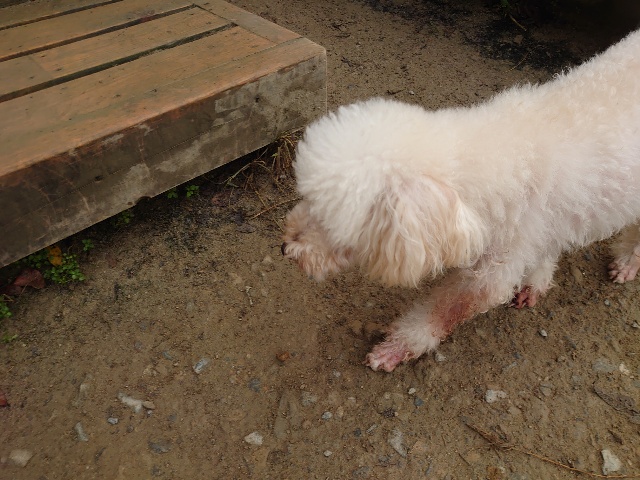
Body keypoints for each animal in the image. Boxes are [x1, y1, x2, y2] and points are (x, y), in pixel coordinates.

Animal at [282, 29, 640, 372]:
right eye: (307, 199)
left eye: (332, 224)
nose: (285, 248)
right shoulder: (540, 228)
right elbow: (545, 249)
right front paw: (537, 280)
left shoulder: (495, 266)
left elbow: (442, 312)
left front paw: (395, 349)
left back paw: (627, 262)